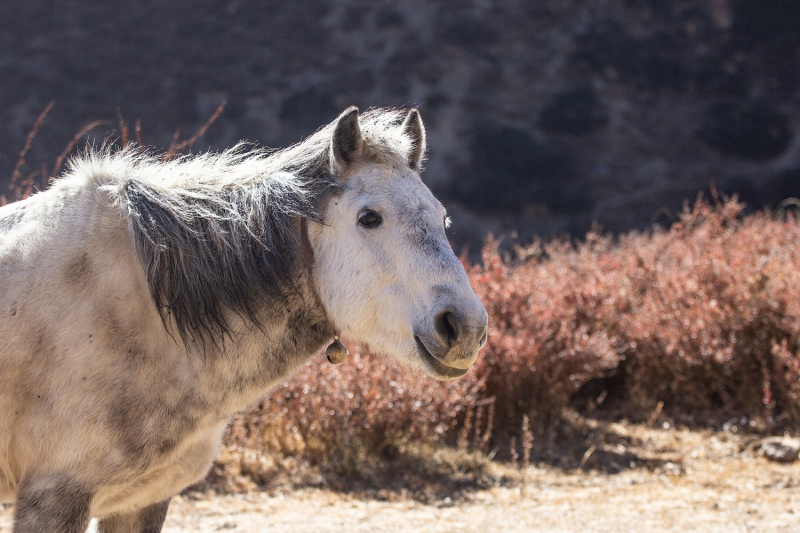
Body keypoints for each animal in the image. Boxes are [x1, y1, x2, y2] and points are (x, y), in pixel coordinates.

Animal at [0, 106, 488, 528]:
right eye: (369, 217)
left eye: (443, 218)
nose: (465, 327)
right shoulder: (56, 494)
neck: (148, 309)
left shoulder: (141, 500)